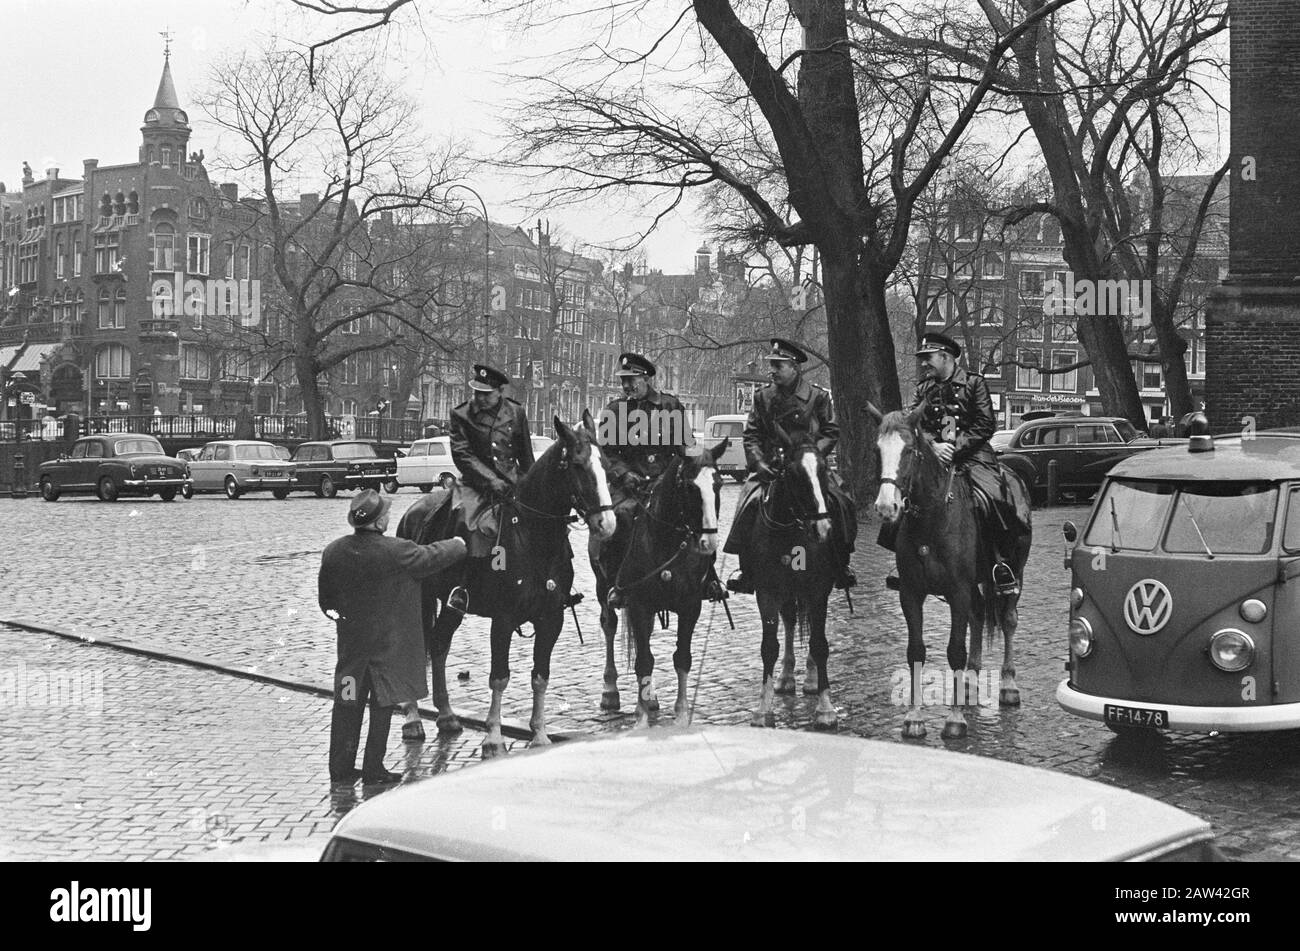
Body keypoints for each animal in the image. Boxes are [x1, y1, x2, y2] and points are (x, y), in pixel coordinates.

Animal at [392, 413, 616, 753]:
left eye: (606, 464)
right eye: (578, 465)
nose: (607, 524)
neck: (533, 536)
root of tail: (414, 511)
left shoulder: (552, 618)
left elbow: (540, 675)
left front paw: (539, 734)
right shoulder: (504, 618)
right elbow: (499, 676)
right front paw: (494, 736)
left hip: (453, 605)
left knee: (440, 644)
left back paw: (446, 715)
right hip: (421, 599)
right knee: (420, 646)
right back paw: (413, 719)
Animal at [592, 439, 728, 727]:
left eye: (718, 484)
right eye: (690, 487)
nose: (709, 542)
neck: (666, 541)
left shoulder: (690, 606)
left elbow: (682, 658)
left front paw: (681, 715)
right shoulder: (639, 604)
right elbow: (644, 660)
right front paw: (642, 720)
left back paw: (649, 697)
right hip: (603, 588)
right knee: (609, 625)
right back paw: (610, 691)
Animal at [743, 426, 842, 732]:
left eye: (823, 470)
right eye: (794, 474)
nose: (823, 526)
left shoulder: (818, 590)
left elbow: (820, 644)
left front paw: (825, 708)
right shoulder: (767, 592)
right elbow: (769, 647)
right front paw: (763, 708)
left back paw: (810, 679)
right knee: (789, 620)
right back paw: (786, 678)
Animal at [873, 405, 1034, 737]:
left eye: (910, 450)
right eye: (877, 450)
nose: (886, 506)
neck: (932, 518)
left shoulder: (957, 590)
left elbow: (955, 650)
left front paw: (955, 719)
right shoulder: (911, 593)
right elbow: (916, 651)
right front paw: (914, 717)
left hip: (1016, 573)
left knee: (1008, 620)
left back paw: (1008, 684)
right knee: (978, 615)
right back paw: (970, 683)